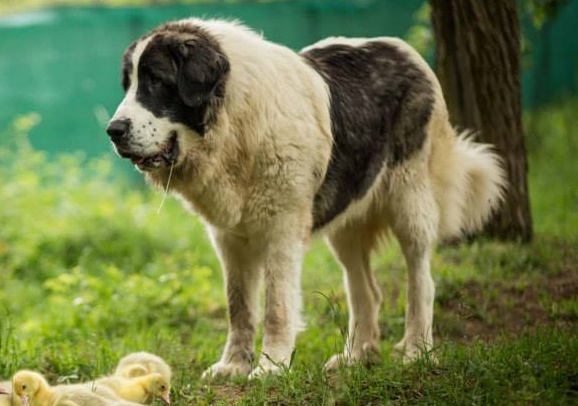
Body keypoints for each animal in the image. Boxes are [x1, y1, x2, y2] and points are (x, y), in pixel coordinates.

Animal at [106, 17, 502, 380]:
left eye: (156, 81)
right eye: (129, 85)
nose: (114, 130)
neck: (235, 120)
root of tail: (405, 52)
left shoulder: (281, 230)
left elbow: (276, 306)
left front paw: (271, 367)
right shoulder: (230, 239)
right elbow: (239, 307)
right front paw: (234, 365)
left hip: (410, 201)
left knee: (421, 280)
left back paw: (418, 350)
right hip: (346, 225)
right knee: (366, 291)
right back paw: (356, 357)